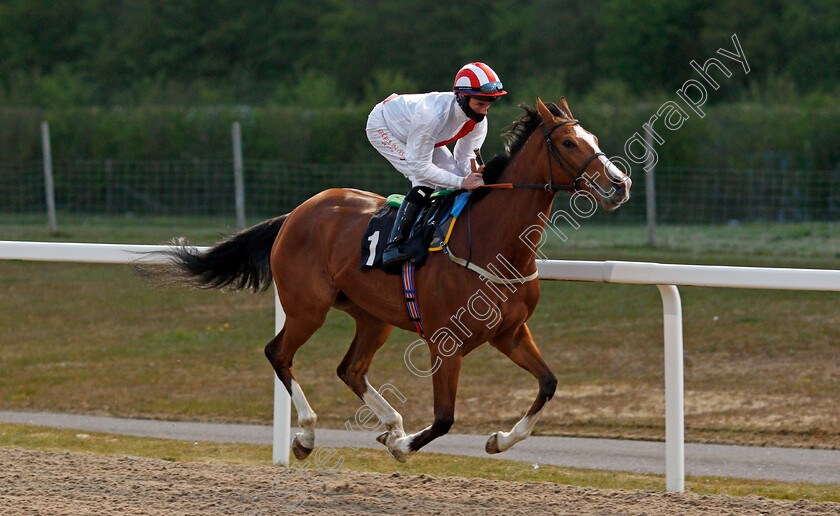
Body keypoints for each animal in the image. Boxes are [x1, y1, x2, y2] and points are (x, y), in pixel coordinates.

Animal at [154, 99, 632, 462]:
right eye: (569, 142)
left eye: (592, 139)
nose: (620, 184)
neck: (494, 244)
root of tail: (296, 213)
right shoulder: (445, 343)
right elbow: (444, 418)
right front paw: (403, 446)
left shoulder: (510, 333)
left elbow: (548, 383)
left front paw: (498, 440)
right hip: (308, 308)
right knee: (279, 354)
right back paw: (308, 434)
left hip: (372, 316)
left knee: (350, 369)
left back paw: (390, 424)